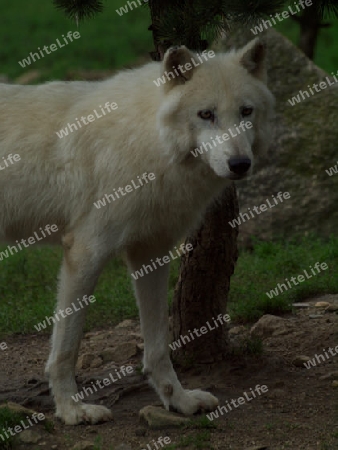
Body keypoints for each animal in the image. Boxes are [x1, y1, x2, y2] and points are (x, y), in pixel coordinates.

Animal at [0, 38, 274, 426]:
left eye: (246, 111)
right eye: (206, 114)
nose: (240, 164)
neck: (148, 143)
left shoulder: (151, 252)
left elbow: (158, 345)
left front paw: (179, 401)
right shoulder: (86, 251)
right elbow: (67, 347)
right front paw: (71, 410)